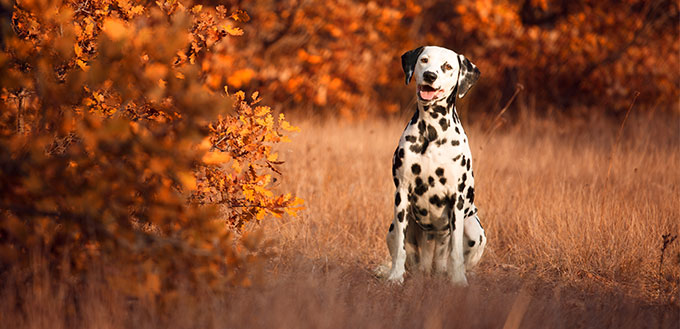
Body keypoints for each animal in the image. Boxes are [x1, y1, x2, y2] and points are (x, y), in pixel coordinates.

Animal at [386, 46, 486, 284]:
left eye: (447, 66)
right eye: (424, 60)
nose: (430, 75)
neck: (432, 132)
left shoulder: (457, 199)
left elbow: (456, 252)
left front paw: (458, 281)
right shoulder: (401, 193)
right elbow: (401, 251)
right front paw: (395, 277)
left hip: (475, 230)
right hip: (394, 227)